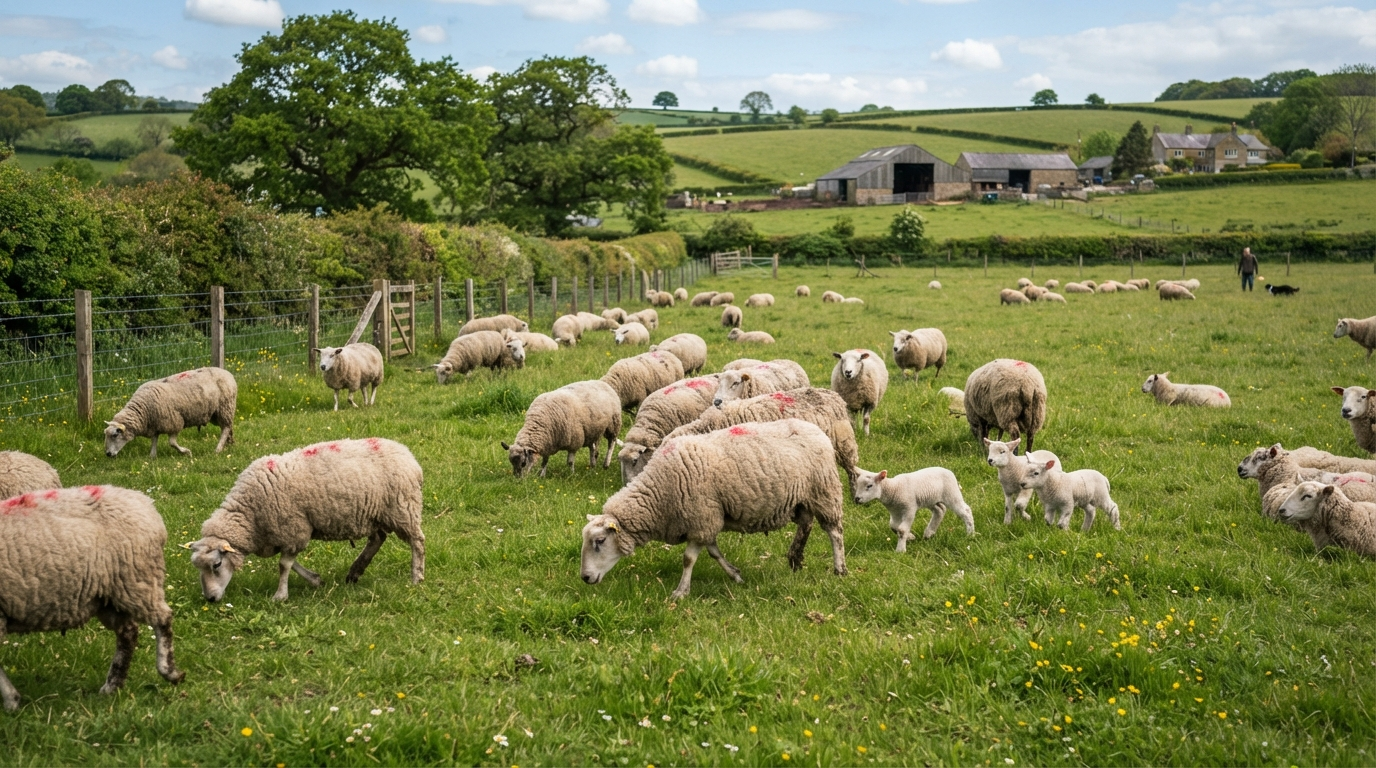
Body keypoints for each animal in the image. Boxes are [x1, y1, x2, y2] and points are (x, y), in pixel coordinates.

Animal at [0, 486, 185, 710]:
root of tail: (144, 502)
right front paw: (12, 700)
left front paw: (11, 701)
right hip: (108, 596)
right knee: (128, 632)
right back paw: (112, 685)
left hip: (137, 579)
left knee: (162, 620)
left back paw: (169, 672)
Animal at [104, 367, 237, 458]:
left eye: (115, 435)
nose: (108, 454)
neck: (143, 410)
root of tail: (227, 373)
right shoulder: (155, 425)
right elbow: (154, 440)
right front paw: (152, 456)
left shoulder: (175, 422)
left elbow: (172, 443)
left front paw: (186, 452)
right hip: (216, 413)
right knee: (228, 426)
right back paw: (229, 443)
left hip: (225, 408)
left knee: (225, 428)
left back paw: (218, 449)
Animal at [189, 438, 425, 602]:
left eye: (217, 564)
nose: (210, 599)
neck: (250, 516)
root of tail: (408, 455)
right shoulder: (286, 534)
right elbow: (291, 563)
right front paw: (315, 580)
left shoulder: (294, 529)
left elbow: (284, 565)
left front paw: (280, 595)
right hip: (374, 513)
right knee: (377, 539)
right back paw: (355, 571)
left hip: (402, 509)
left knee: (417, 542)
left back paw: (417, 577)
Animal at [581, 419, 846, 600]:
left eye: (600, 541)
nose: (584, 578)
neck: (660, 493)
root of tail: (816, 429)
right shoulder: (707, 520)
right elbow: (714, 552)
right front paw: (735, 575)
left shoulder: (701, 518)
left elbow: (688, 559)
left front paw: (681, 591)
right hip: (802, 499)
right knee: (806, 524)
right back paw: (795, 559)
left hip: (824, 491)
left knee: (834, 532)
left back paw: (839, 569)